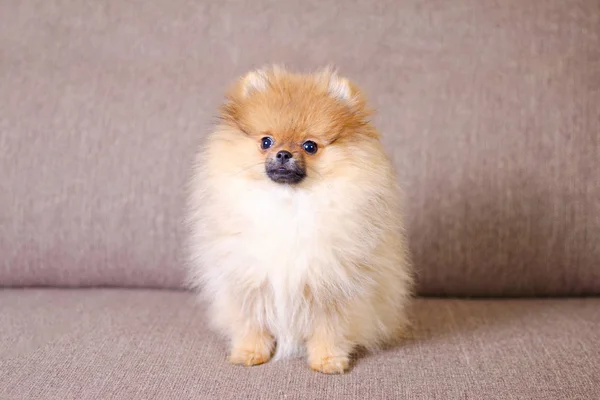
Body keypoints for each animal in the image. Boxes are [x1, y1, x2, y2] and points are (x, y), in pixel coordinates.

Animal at [188, 65, 412, 376]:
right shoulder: (248, 280)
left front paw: (328, 360)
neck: (289, 204)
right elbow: (252, 323)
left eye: (310, 146)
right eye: (266, 142)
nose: (283, 153)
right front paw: (249, 352)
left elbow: (330, 328)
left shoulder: (333, 285)